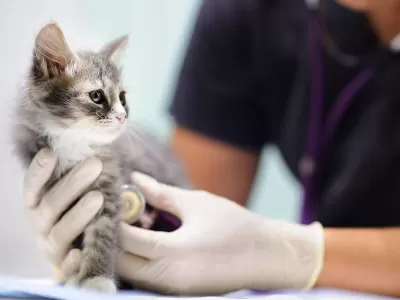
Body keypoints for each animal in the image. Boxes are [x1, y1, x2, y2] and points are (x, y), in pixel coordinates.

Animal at [9, 22, 191, 292]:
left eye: (123, 98)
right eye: (97, 96)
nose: (121, 116)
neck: (73, 140)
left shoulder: (109, 183)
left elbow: (101, 237)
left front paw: (97, 278)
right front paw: (76, 273)